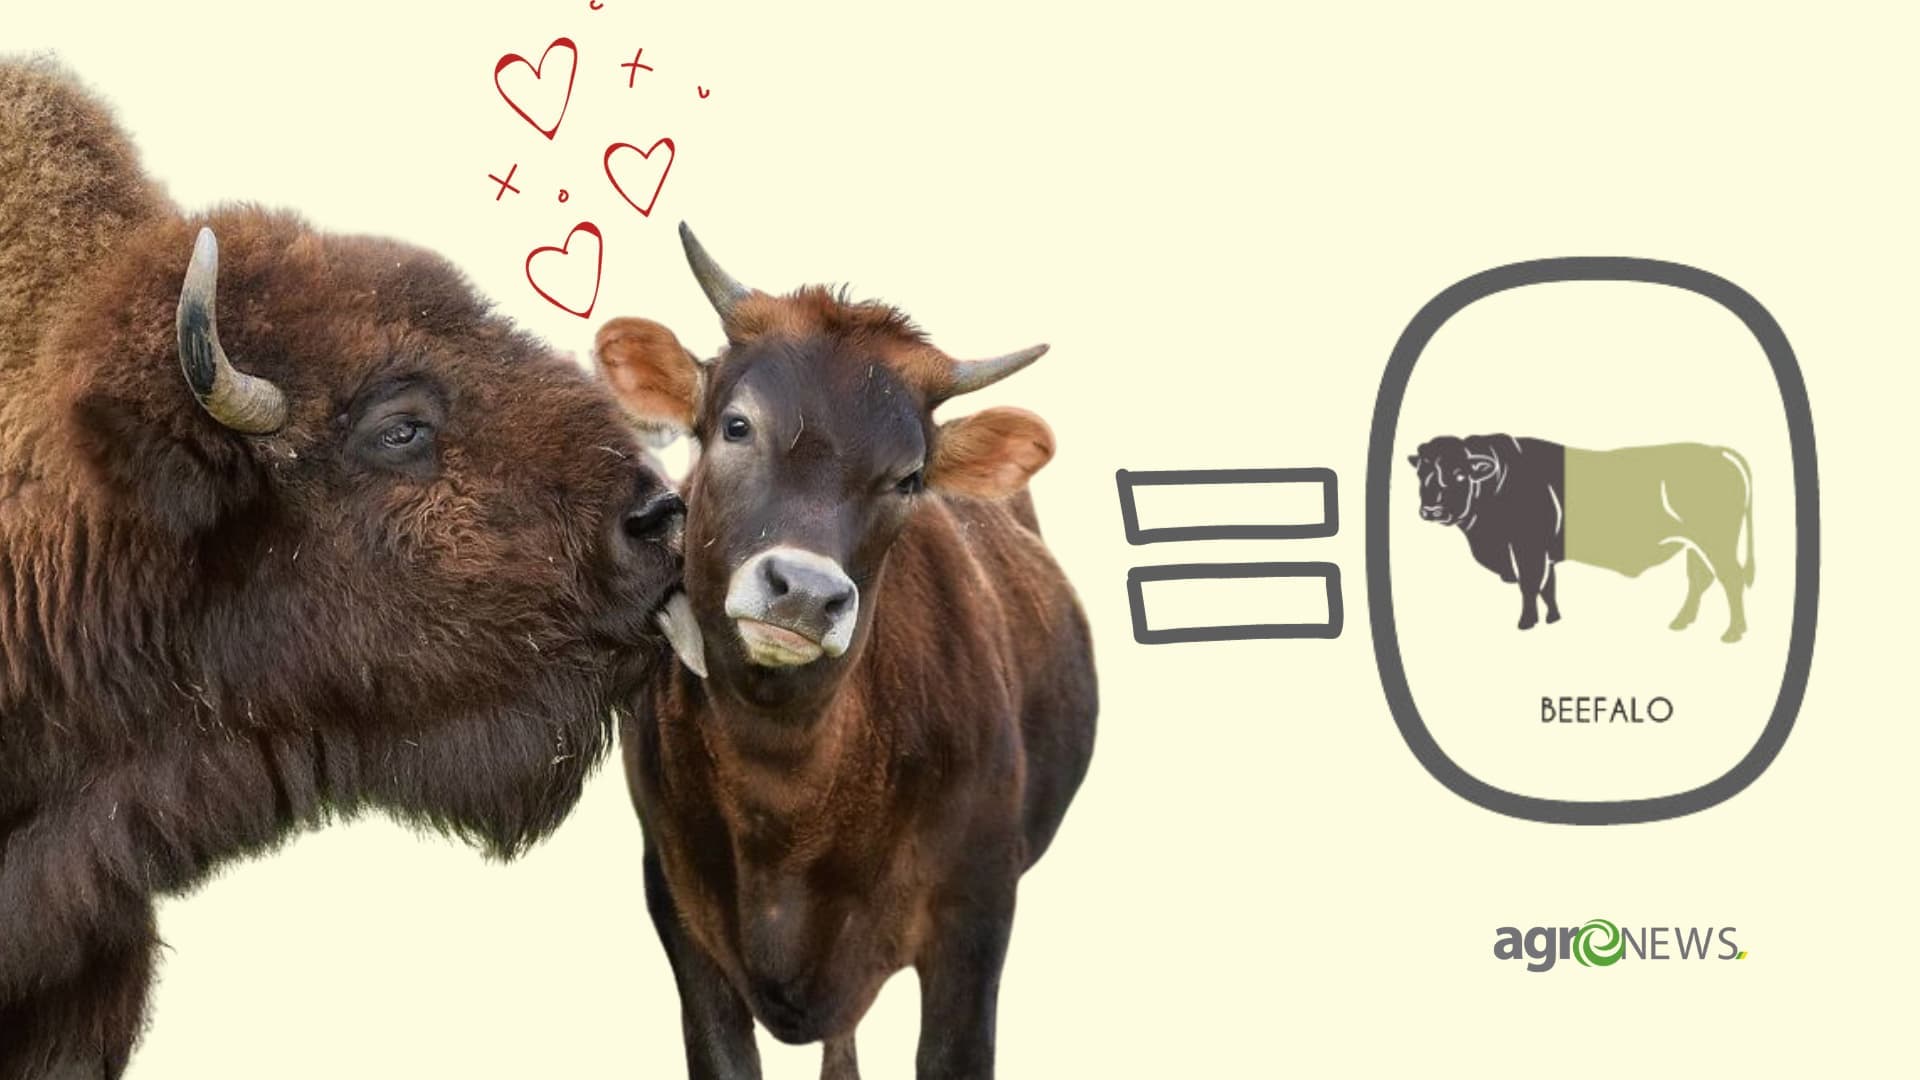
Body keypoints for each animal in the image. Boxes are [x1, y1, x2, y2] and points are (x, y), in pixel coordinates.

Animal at [1408, 434, 1755, 642]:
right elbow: (1548, 586)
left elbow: (1530, 584)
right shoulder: (1542, 554)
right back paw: (1681, 622)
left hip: (1716, 543)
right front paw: (1553, 618)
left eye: (1459, 474)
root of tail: (1717, 452)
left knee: (1731, 578)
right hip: (1694, 546)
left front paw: (1526, 622)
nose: (1431, 509)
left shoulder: (1528, 549)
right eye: (1421, 473)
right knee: (1700, 579)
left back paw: (1733, 632)